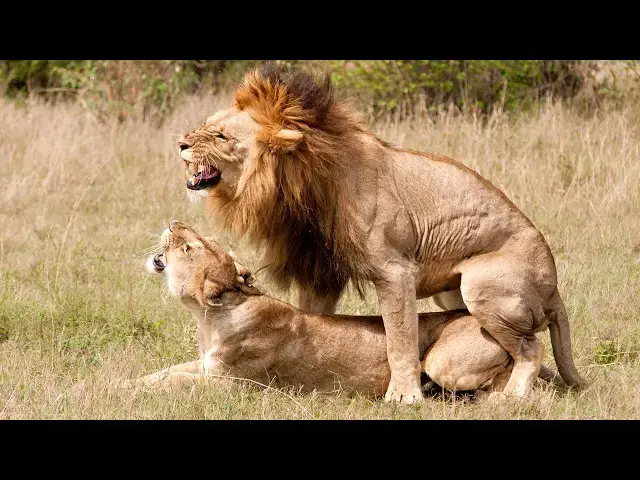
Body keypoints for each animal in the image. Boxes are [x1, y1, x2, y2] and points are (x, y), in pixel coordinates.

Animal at [131, 220, 564, 398]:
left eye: (189, 246)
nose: (173, 222)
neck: (210, 319)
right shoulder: (206, 365)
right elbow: (164, 372)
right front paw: (123, 383)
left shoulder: (235, 384)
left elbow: (176, 382)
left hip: (446, 360)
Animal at [175, 62, 586, 403]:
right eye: (208, 125)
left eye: (221, 135)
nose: (180, 144)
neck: (299, 181)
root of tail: (554, 289)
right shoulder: (320, 272)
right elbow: (313, 321)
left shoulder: (395, 271)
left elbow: (400, 339)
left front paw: (403, 397)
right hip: (452, 294)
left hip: (481, 284)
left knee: (531, 348)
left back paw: (512, 397)